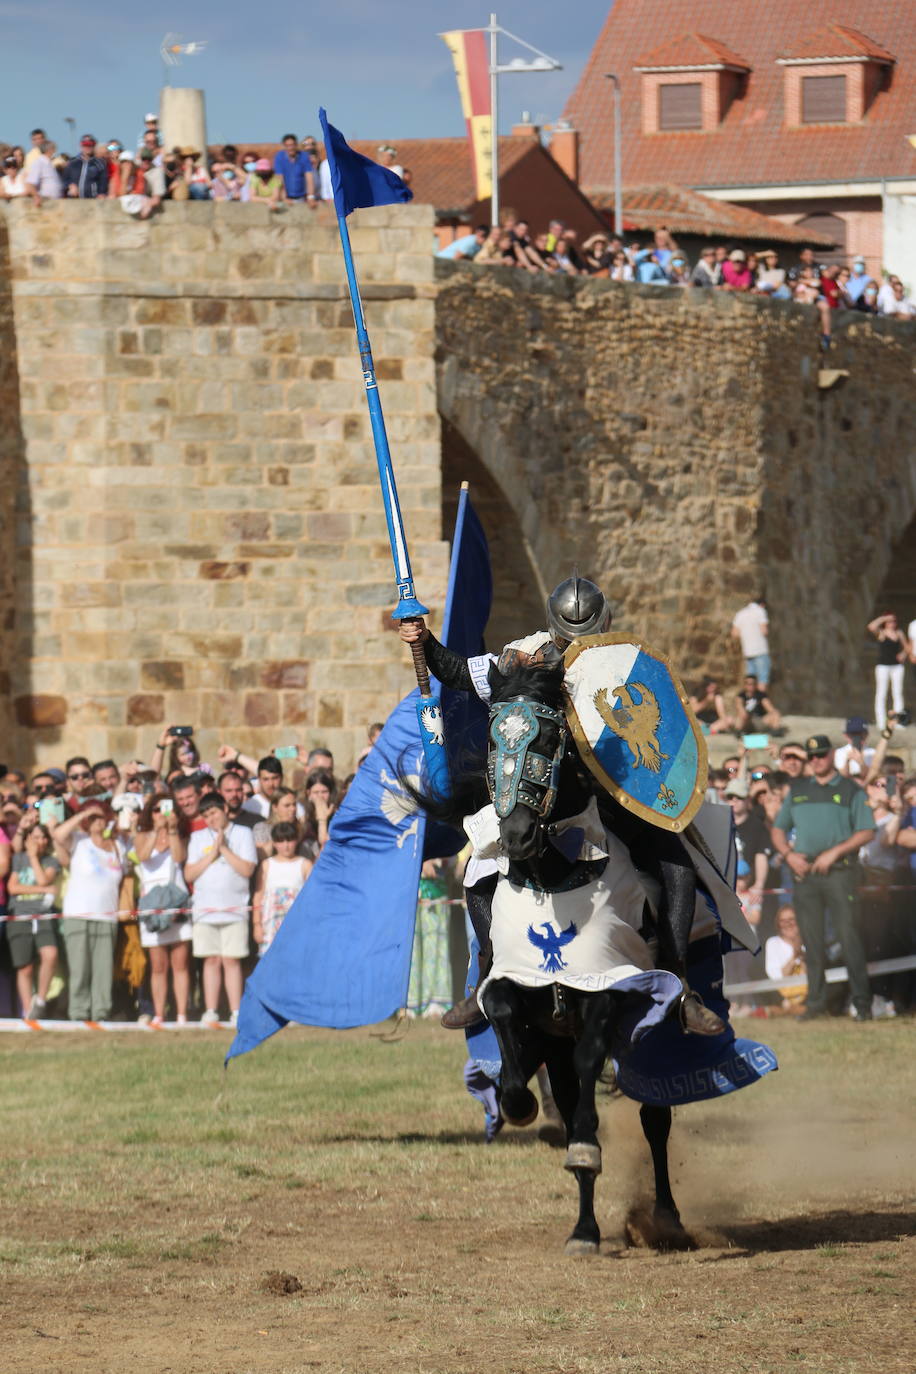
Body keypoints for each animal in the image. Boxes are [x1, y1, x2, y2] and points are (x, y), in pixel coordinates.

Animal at [420, 662, 697, 1258]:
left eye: (550, 740)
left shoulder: (606, 988)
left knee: (653, 1118)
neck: (554, 872)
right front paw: (517, 1102)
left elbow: (596, 1068)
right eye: (495, 739)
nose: (516, 835)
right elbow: (503, 1015)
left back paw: (664, 1218)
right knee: (574, 1107)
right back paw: (585, 1227)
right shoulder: (517, 984)